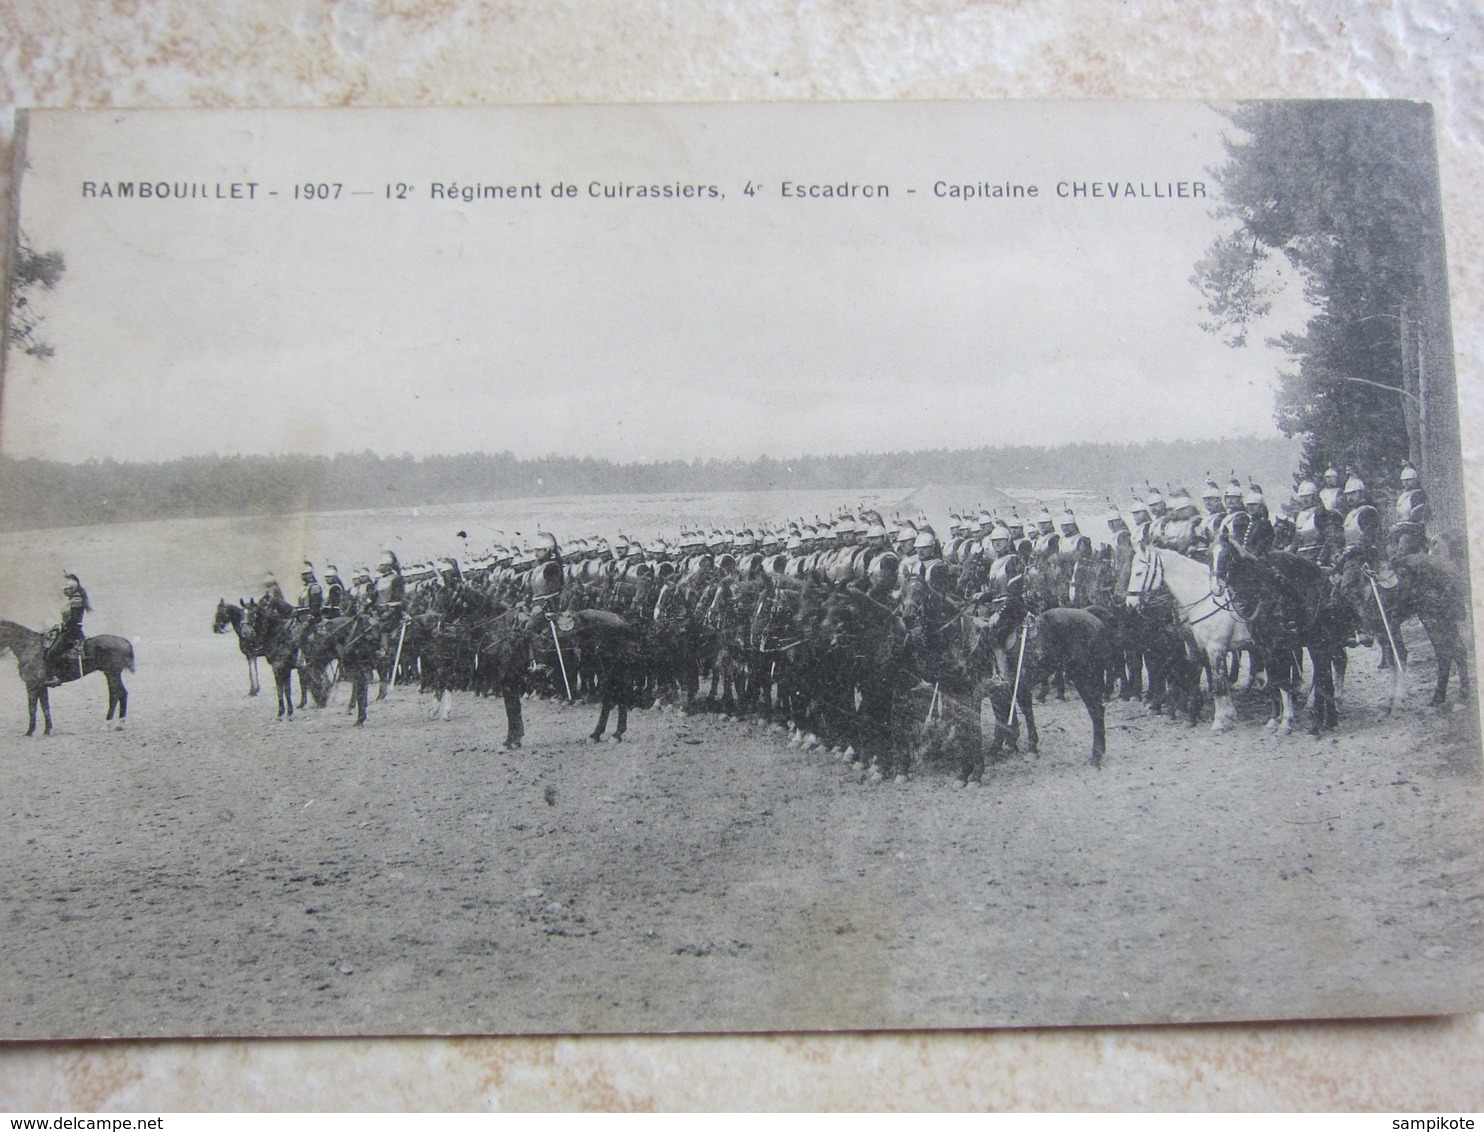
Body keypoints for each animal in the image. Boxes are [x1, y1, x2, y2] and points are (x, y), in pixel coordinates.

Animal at [0, 620, 135, 735]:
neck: (30, 648)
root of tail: (124, 641)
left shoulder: (33, 684)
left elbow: (34, 708)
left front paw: (32, 731)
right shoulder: (39, 686)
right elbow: (43, 706)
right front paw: (46, 730)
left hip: (112, 674)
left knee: (115, 696)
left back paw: (108, 725)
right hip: (112, 674)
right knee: (120, 694)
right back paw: (119, 724)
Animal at [1121, 540, 1264, 735]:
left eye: (1138, 572)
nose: (1129, 604)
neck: (1203, 601)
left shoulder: (1215, 648)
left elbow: (1218, 683)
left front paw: (1222, 720)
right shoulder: (1193, 647)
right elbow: (1190, 676)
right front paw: (1191, 715)